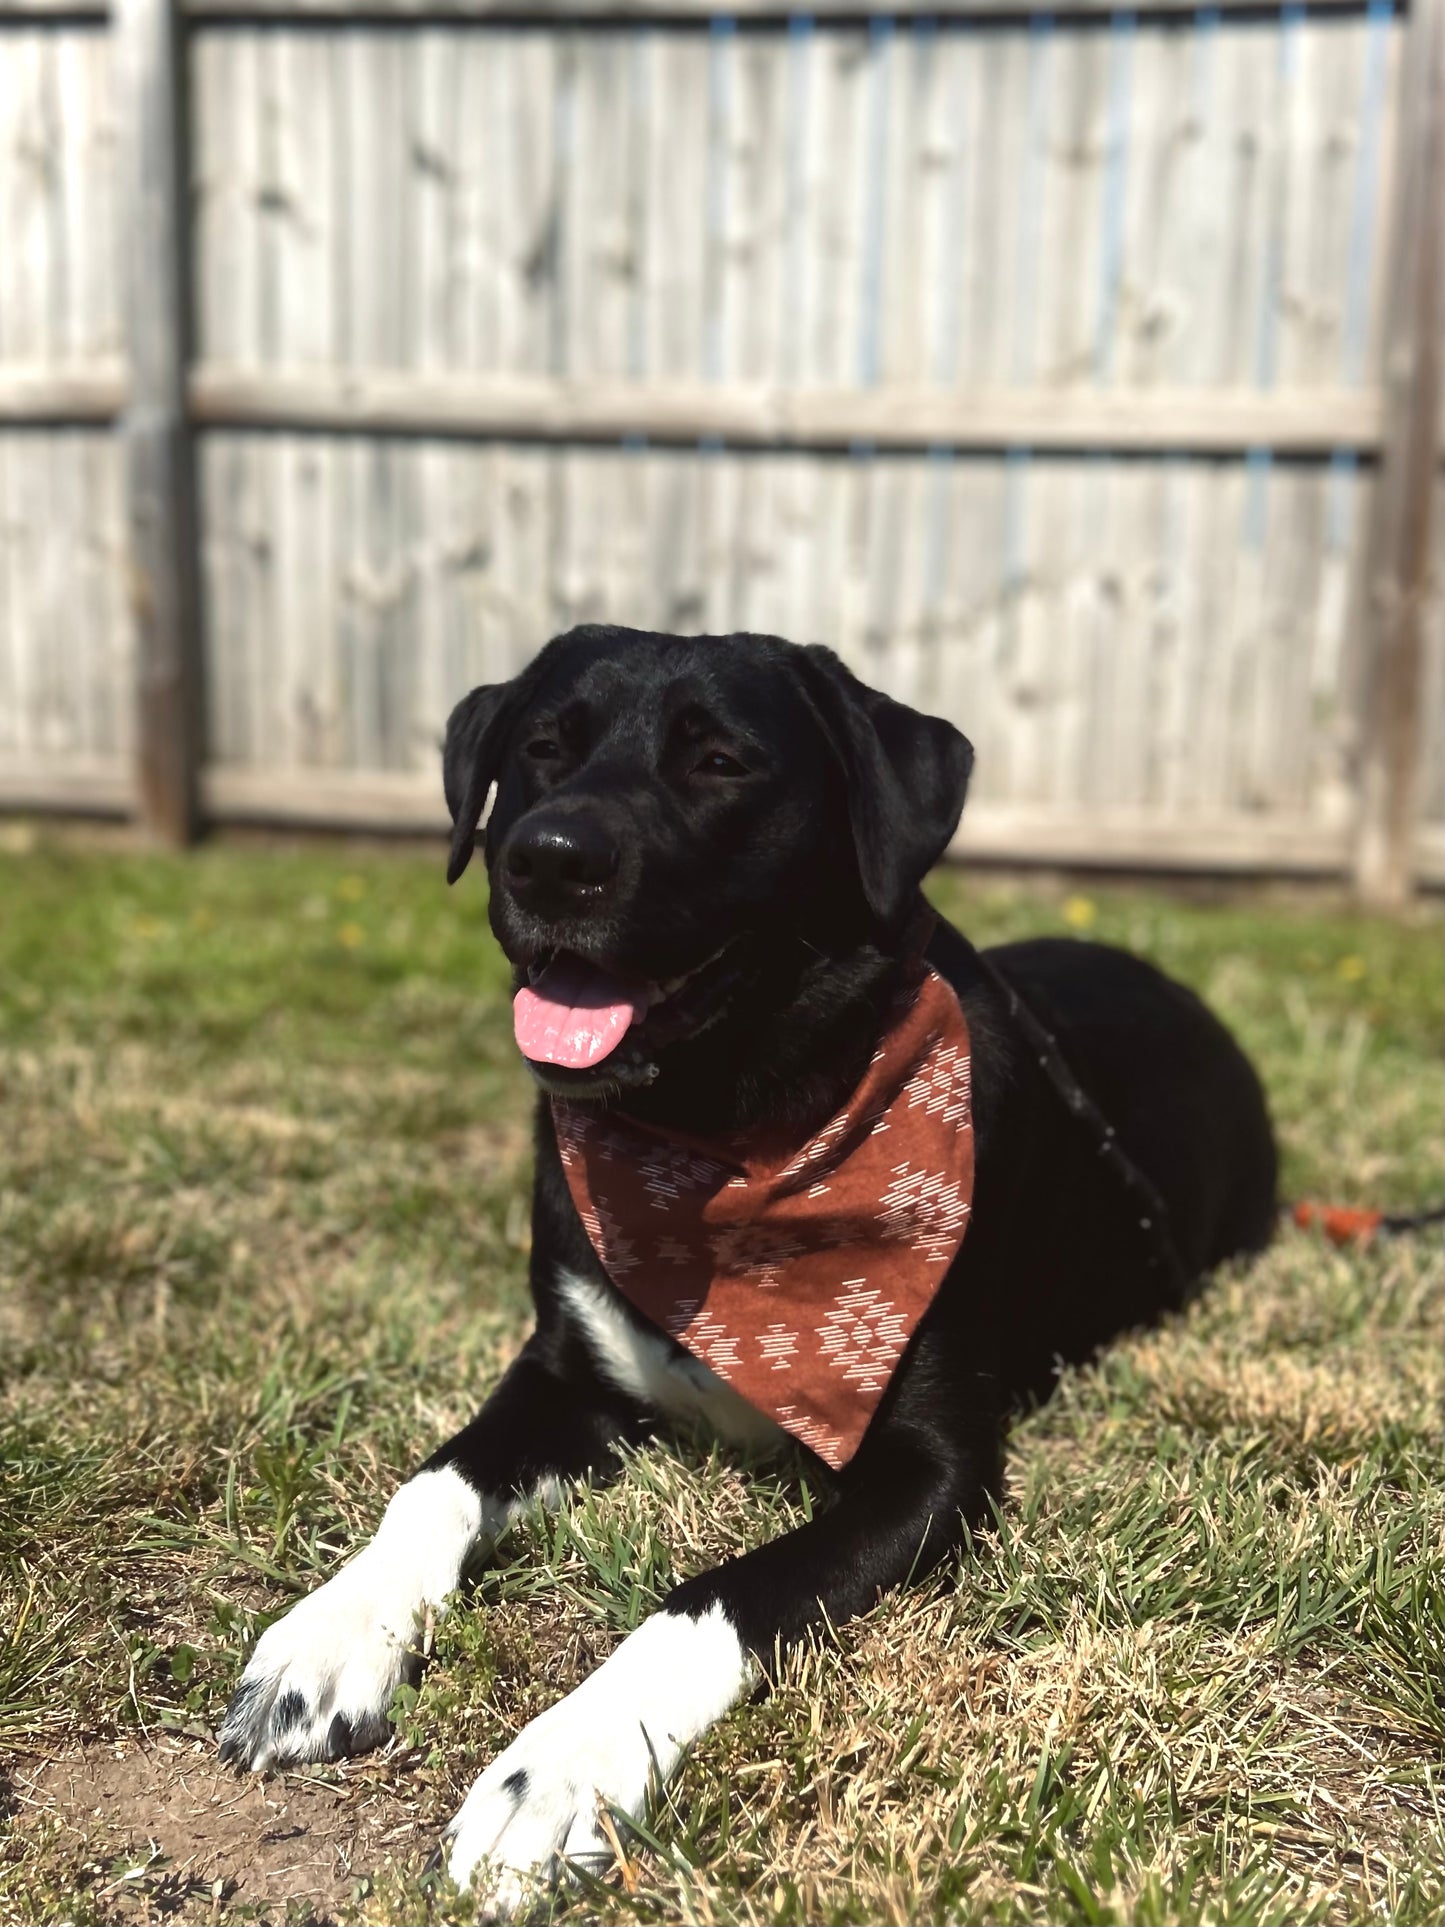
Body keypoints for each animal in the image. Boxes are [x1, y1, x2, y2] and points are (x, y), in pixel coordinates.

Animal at [217, 624, 1279, 1903]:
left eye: (719, 760)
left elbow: (712, 1592)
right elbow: (432, 1481)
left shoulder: (932, 1473)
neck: (719, 1140)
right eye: (541, 747)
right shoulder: (566, 1371)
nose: (547, 860)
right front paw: (328, 1636)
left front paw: (559, 1772)